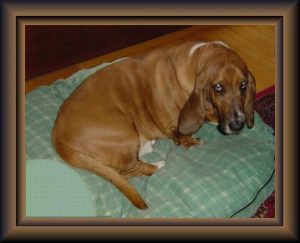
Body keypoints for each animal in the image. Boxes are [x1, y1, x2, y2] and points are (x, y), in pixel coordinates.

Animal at [52, 41, 255, 209]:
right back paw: (157, 165)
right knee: (127, 171)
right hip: (126, 131)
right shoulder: (174, 127)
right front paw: (192, 142)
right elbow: (182, 137)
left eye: (243, 85)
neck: (194, 61)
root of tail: (57, 137)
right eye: (218, 87)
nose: (237, 125)